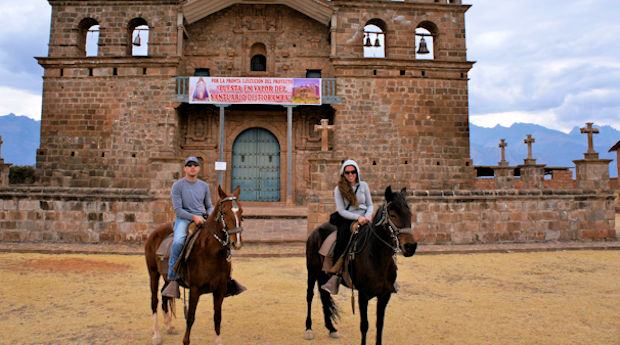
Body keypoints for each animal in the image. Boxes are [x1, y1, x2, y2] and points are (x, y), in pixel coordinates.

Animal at [145, 185, 242, 344]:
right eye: (225, 212)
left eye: (242, 212)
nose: (236, 242)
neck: (211, 253)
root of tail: (154, 232)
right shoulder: (195, 290)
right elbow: (190, 317)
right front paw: (186, 341)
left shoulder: (220, 289)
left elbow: (217, 317)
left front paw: (218, 340)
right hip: (153, 273)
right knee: (154, 300)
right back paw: (156, 335)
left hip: (167, 279)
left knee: (165, 294)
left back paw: (169, 326)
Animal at [304, 185, 416, 344]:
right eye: (393, 215)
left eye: (410, 213)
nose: (411, 246)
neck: (377, 257)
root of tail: (315, 231)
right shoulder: (363, 295)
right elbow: (364, 326)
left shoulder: (385, 295)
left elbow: (379, 325)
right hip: (312, 270)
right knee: (310, 295)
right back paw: (308, 329)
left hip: (323, 274)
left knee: (324, 295)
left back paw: (331, 328)